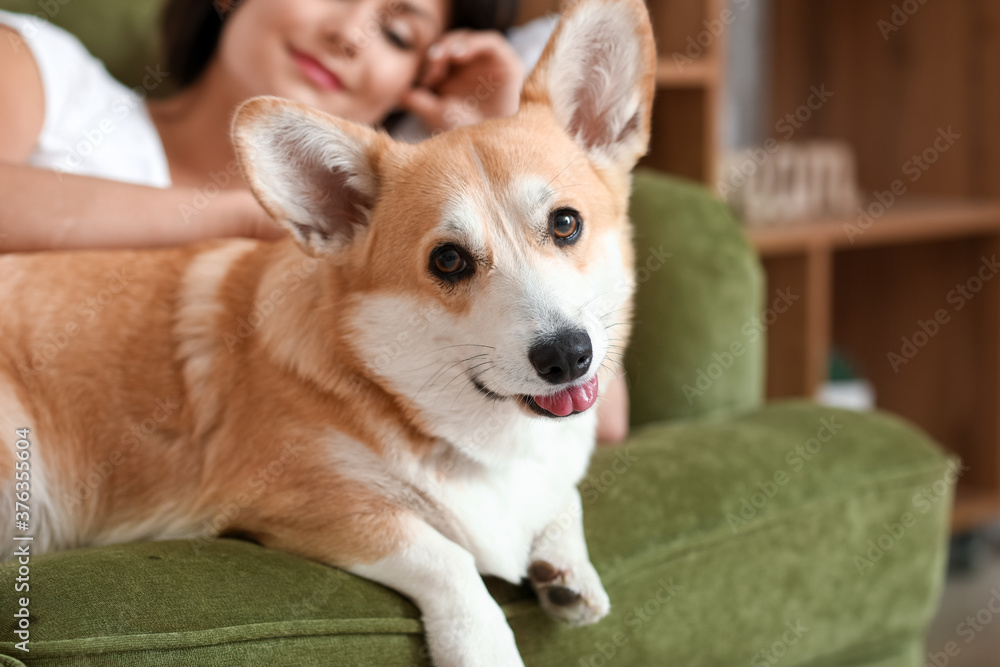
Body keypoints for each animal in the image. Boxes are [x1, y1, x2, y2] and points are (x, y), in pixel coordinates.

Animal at [1, 1, 656, 664]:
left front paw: (567, 569)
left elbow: (562, 495)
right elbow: (447, 558)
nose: (568, 356)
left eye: (566, 223)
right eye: (447, 261)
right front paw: (483, 645)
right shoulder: (308, 503)